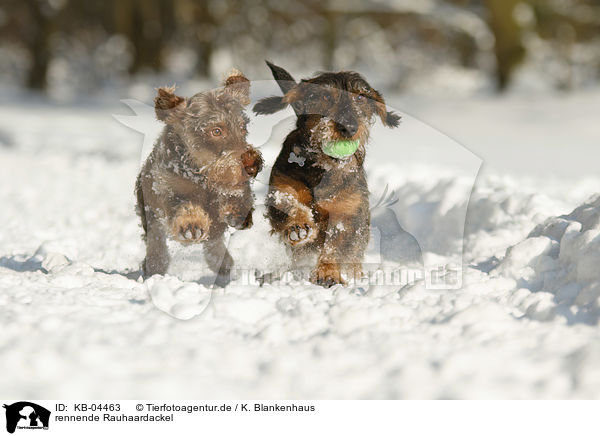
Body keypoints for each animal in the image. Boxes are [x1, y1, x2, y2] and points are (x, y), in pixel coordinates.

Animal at [138, 70, 264, 282]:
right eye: (216, 131)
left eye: (243, 128)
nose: (251, 164)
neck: (202, 175)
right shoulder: (167, 190)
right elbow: (182, 205)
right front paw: (191, 224)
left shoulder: (234, 185)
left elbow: (237, 193)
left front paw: (238, 210)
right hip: (151, 217)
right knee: (157, 246)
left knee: (214, 247)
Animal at [252, 61, 398, 286]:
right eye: (326, 97)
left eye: (360, 98)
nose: (349, 127)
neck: (324, 169)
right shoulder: (281, 186)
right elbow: (288, 202)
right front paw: (297, 227)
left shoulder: (349, 214)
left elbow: (336, 245)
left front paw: (327, 273)